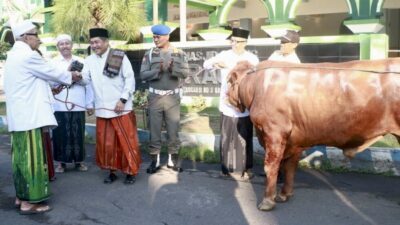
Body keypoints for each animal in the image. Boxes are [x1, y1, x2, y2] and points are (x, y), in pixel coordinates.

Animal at [228, 58, 400, 211]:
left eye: (229, 81)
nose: (225, 95)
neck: (257, 85)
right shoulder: (294, 141)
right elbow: (289, 166)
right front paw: (284, 195)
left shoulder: (274, 132)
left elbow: (271, 167)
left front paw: (267, 202)